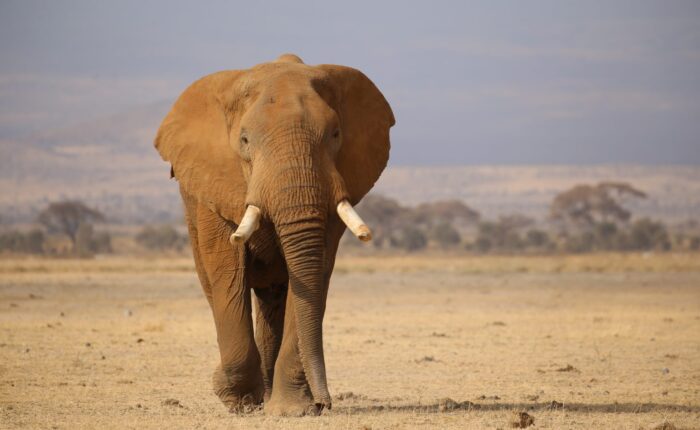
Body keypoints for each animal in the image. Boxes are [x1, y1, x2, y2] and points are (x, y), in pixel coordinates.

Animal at [154, 54, 394, 416]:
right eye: (244, 141)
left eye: (335, 134)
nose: (326, 402)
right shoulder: (214, 182)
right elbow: (228, 269)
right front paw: (238, 401)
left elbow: (313, 274)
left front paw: (293, 409)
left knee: (273, 299)